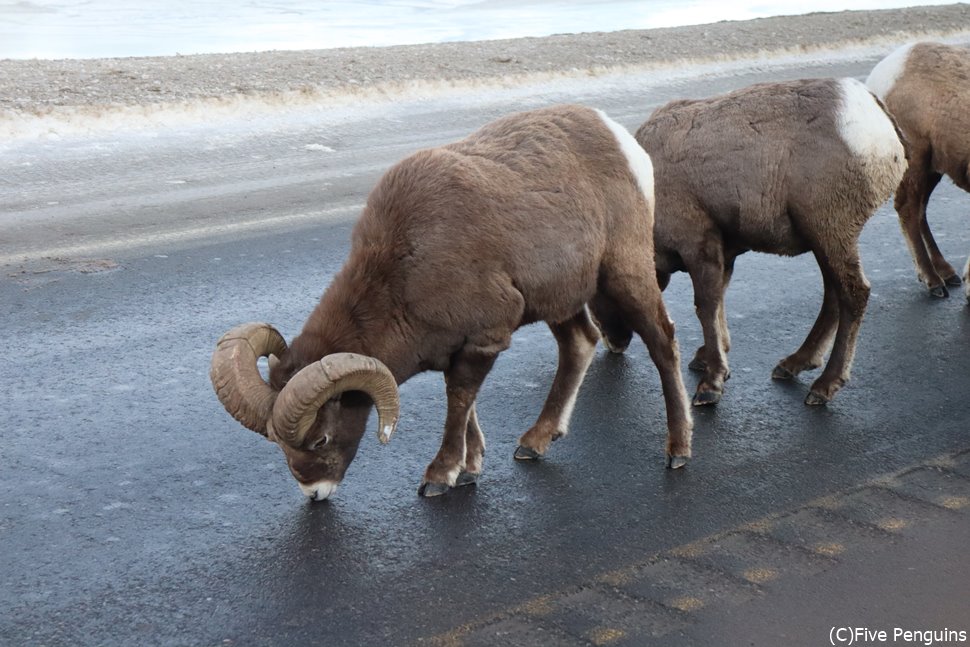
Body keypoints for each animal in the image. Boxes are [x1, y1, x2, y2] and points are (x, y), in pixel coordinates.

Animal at [213, 102, 696, 502]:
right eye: (278, 443)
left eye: (320, 440)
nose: (315, 493)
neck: (405, 266)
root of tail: (623, 141)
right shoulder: (459, 346)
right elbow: (469, 408)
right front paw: (470, 469)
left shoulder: (483, 339)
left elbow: (459, 402)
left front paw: (440, 477)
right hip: (562, 301)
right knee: (579, 343)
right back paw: (534, 443)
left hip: (625, 274)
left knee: (661, 341)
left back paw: (678, 450)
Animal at [624, 78, 904, 408]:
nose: (615, 345)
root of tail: (875, 114)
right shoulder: (724, 253)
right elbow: (719, 303)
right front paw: (706, 359)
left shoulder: (699, 246)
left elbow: (706, 306)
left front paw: (711, 384)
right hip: (824, 240)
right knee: (833, 295)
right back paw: (794, 364)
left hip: (831, 231)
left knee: (854, 294)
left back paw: (823, 386)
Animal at [864, 43, 968, 302]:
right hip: (918, 161)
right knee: (909, 209)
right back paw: (934, 282)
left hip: (932, 168)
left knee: (920, 209)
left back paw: (946, 273)